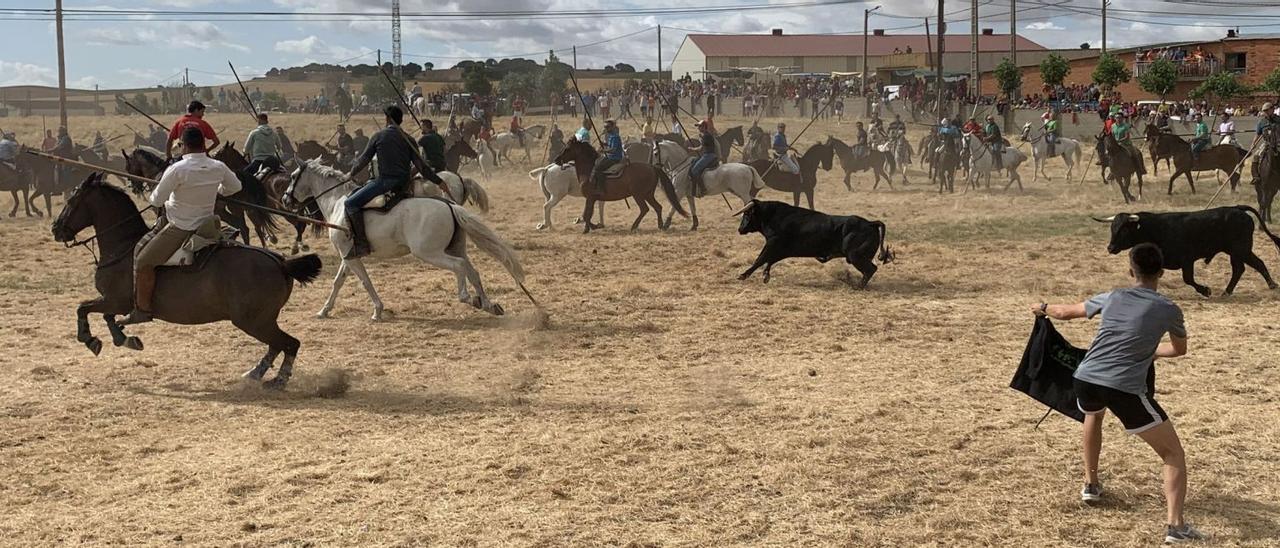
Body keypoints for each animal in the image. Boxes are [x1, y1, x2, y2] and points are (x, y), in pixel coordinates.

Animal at [50, 172, 322, 386]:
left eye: (72, 200)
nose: (56, 229)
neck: (124, 246)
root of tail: (281, 262)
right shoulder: (116, 302)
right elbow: (107, 317)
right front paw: (125, 338)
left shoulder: (115, 300)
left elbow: (83, 308)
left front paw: (90, 339)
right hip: (263, 320)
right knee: (277, 345)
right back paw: (255, 373)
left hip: (254, 321)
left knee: (290, 344)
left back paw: (278, 380)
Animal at [288, 157, 527, 321]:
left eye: (292, 176)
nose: (285, 198)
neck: (338, 202)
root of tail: (449, 205)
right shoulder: (348, 256)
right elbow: (338, 282)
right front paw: (324, 310)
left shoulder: (350, 257)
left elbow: (364, 281)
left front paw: (377, 310)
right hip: (455, 248)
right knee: (473, 271)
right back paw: (488, 304)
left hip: (430, 253)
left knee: (459, 267)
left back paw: (468, 298)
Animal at [552, 138, 686, 231]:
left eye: (567, 149)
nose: (556, 159)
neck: (589, 171)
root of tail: (653, 167)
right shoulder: (592, 198)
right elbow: (587, 214)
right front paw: (593, 226)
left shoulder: (590, 197)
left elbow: (586, 215)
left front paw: (590, 228)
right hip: (648, 194)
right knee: (658, 207)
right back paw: (660, 225)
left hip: (638, 195)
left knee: (645, 209)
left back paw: (634, 226)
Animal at [737, 198, 896, 289]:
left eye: (747, 214)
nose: (740, 229)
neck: (773, 217)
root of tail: (870, 223)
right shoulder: (783, 250)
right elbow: (769, 260)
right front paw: (765, 275)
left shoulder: (773, 244)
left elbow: (761, 259)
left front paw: (743, 275)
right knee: (870, 269)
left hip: (855, 256)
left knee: (871, 269)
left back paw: (857, 286)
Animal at [1090, 204, 1280, 297]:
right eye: (1112, 228)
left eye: (1124, 230)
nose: (1110, 248)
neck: (1153, 229)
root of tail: (1238, 209)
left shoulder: (1187, 260)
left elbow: (1188, 279)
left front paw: (1205, 291)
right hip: (1236, 252)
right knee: (1241, 269)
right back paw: (1228, 291)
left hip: (1241, 249)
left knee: (1253, 264)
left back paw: (1271, 285)